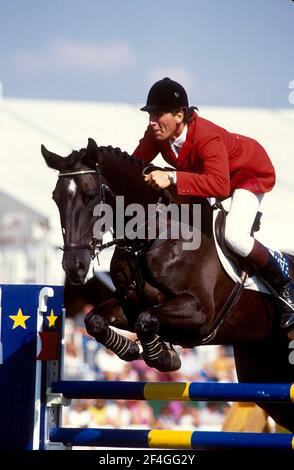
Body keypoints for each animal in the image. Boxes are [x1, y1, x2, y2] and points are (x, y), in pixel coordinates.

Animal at [41, 138, 294, 432]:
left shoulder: (199, 313)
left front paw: (161, 356)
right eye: (55, 198)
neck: (153, 235)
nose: (75, 267)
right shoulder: (129, 303)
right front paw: (133, 349)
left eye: (91, 195)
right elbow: (96, 320)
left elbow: (147, 319)